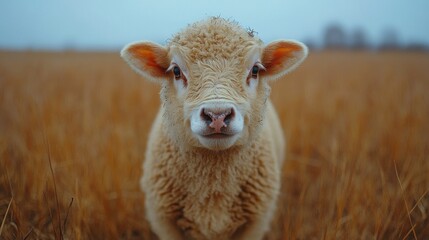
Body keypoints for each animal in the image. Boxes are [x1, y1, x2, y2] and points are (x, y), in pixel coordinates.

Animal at [120, 17, 308, 240]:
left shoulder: (256, 222)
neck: (214, 184)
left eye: (255, 70)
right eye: (176, 71)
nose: (217, 115)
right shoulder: (165, 221)